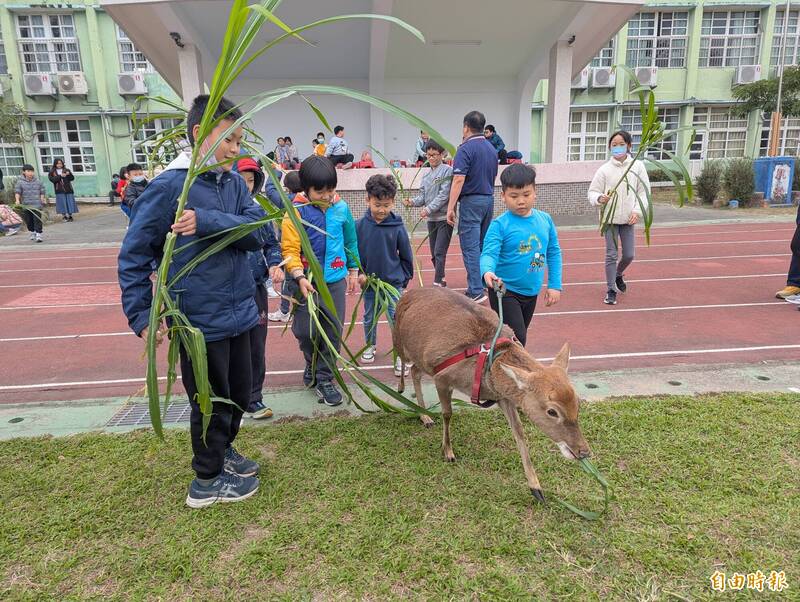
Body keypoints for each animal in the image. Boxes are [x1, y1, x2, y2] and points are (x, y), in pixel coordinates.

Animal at [390, 286, 592, 502]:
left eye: (577, 403)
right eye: (552, 411)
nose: (584, 452)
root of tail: (409, 292)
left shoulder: (503, 397)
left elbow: (519, 431)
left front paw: (536, 488)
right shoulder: (442, 378)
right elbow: (447, 414)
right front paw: (448, 451)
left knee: (415, 371)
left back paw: (425, 416)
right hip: (401, 342)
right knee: (404, 362)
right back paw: (407, 396)